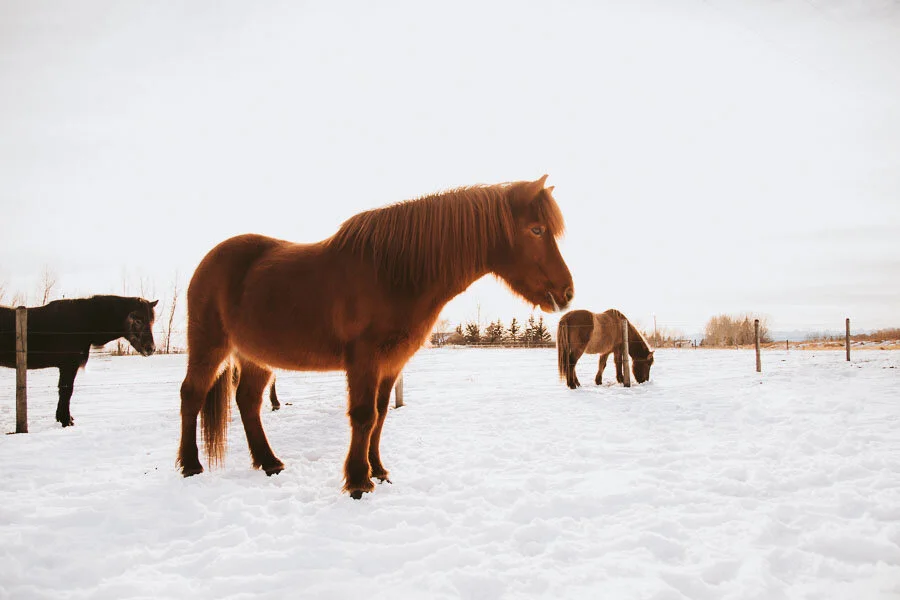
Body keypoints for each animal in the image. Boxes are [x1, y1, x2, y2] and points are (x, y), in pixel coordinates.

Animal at [0, 295, 158, 426]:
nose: (150, 348)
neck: (84, 323)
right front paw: (66, 420)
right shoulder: (69, 366)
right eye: (138, 320)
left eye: (152, 321)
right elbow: (66, 391)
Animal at [177, 175, 574, 498]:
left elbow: (380, 416)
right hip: (209, 345)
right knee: (192, 394)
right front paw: (357, 482)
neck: (393, 273)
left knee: (248, 402)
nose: (567, 293)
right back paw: (191, 465)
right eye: (536, 230)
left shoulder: (392, 362)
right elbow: (363, 415)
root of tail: (209, 261)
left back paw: (270, 462)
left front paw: (378, 470)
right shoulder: (364, 360)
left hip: (255, 355)